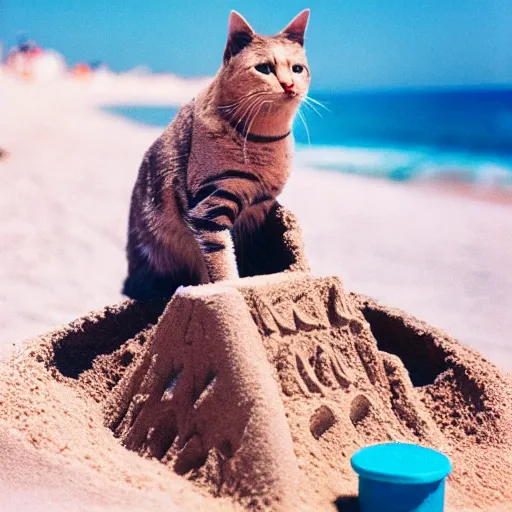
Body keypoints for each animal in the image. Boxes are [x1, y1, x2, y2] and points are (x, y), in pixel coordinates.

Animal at [123, 9, 312, 300]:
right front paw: (232, 289)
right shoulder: (209, 207)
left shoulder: (260, 210)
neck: (264, 143)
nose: (290, 85)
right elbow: (222, 260)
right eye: (264, 68)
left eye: (297, 69)